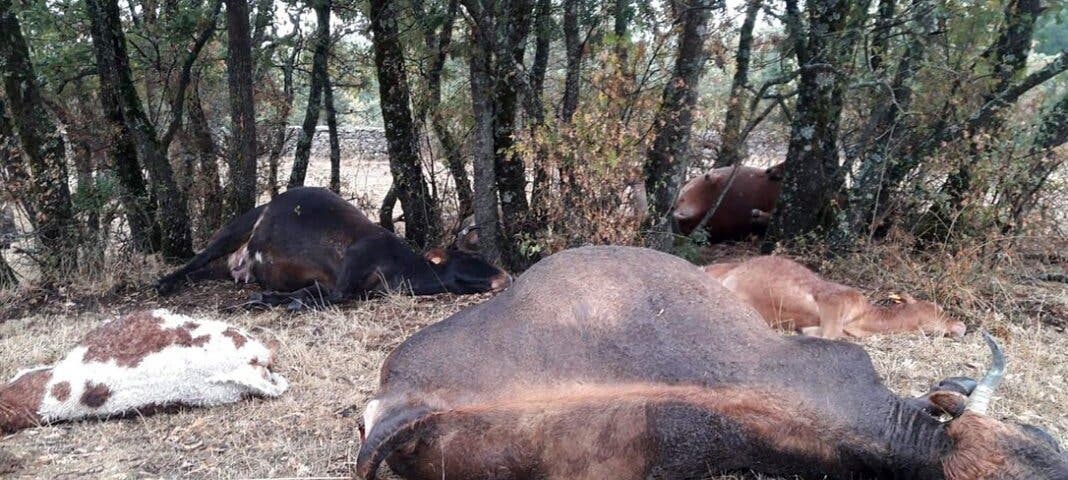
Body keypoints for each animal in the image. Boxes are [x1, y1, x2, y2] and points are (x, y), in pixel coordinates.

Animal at [153, 187, 512, 307]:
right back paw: (162, 284)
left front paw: (271, 299)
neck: (399, 266)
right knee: (193, 261)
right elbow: (333, 296)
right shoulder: (346, 275)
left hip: (223, 266)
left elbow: (310, 293)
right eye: (466, 257)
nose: (505, 277)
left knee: (198, 272)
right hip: (233, 231)